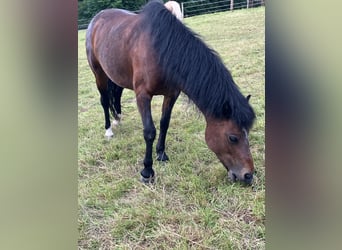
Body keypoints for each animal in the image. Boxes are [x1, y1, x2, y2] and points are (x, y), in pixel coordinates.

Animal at [86, 0, 256, 185]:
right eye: (233, 137)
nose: (248, 175)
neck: (160, 52)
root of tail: (97, 18)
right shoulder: (143, 96)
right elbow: (149, 132)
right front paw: (147, 171)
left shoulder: (171, 94)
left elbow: (164, 123)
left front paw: (161, 153)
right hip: (98, 73)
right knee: (104, 100)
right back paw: (109, 130)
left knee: (116, 94)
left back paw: (117, 119)